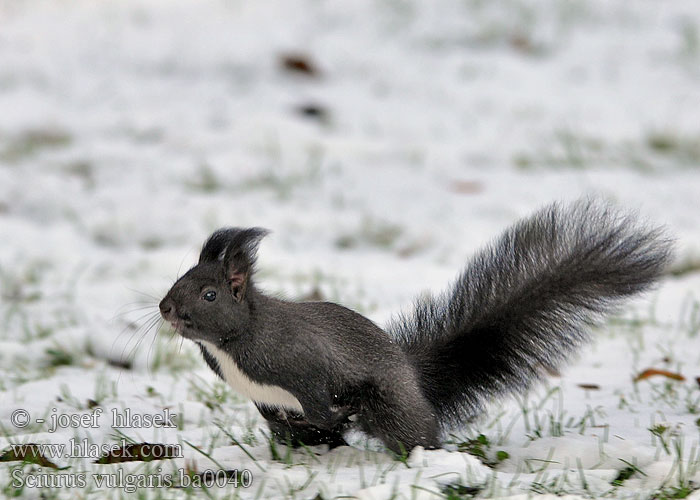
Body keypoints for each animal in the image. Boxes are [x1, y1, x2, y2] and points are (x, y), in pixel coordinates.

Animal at [159, 198, 672, 454]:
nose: (165, 308)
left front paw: (334, 411)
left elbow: (320, 401)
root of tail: (412, 376)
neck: (235, 339)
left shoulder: (305, 363)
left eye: (209, 295)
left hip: (391, 404)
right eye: (179, 279)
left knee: (410, 434)